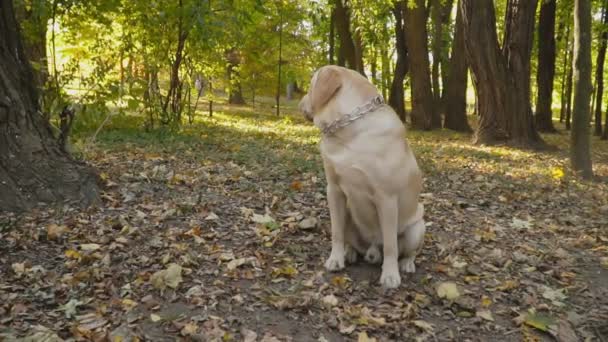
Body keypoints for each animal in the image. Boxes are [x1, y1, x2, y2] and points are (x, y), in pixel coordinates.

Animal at [298, 65, 422, 288]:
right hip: (348, 213)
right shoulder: (334, 190)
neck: (349, 132)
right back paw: (349, 253)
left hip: (417, 228)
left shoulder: (387, 198)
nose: (299, 103)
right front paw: (335, 259)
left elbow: (390, 245)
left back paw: (407, 264)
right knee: (351, 240)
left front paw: (390, 275)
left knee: (407, 251)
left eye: (311, 85)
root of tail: (372, 250)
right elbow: (336, 232)